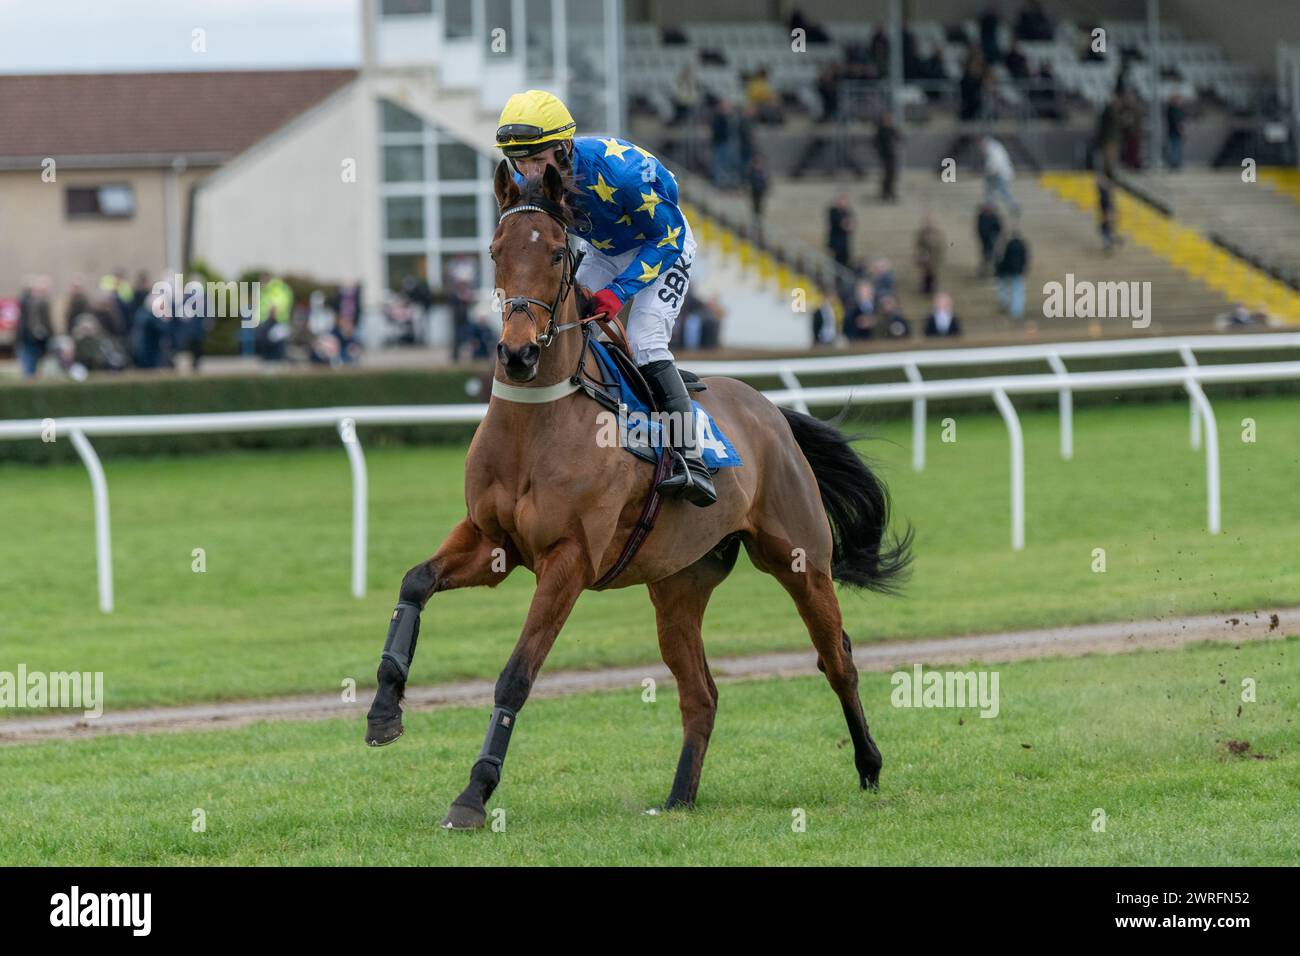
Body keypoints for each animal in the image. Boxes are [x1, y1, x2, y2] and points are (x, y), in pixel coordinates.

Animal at [366, 160, 915, 827]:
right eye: (494, 251)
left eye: (557, 253)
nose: (517, 353)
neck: (537, 423)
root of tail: (772, 412)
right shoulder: (491, 541)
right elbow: (414, 583)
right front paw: (384, 709)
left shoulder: (569, 560)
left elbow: (516, 675)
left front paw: (473, 794)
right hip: (678, 585)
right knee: (701, 693)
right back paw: (679, 797)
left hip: (800, 559)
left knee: (837, 659)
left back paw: (869, 765)